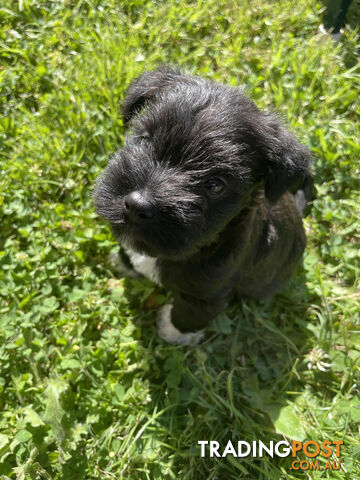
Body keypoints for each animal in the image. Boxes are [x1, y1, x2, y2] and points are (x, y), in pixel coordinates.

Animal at [94, 66, 314, 344]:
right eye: (144, 139)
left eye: (216, 185)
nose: (136, 205)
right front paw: (124, 262)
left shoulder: (206, 295)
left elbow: (188, 315)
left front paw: (172, 331)